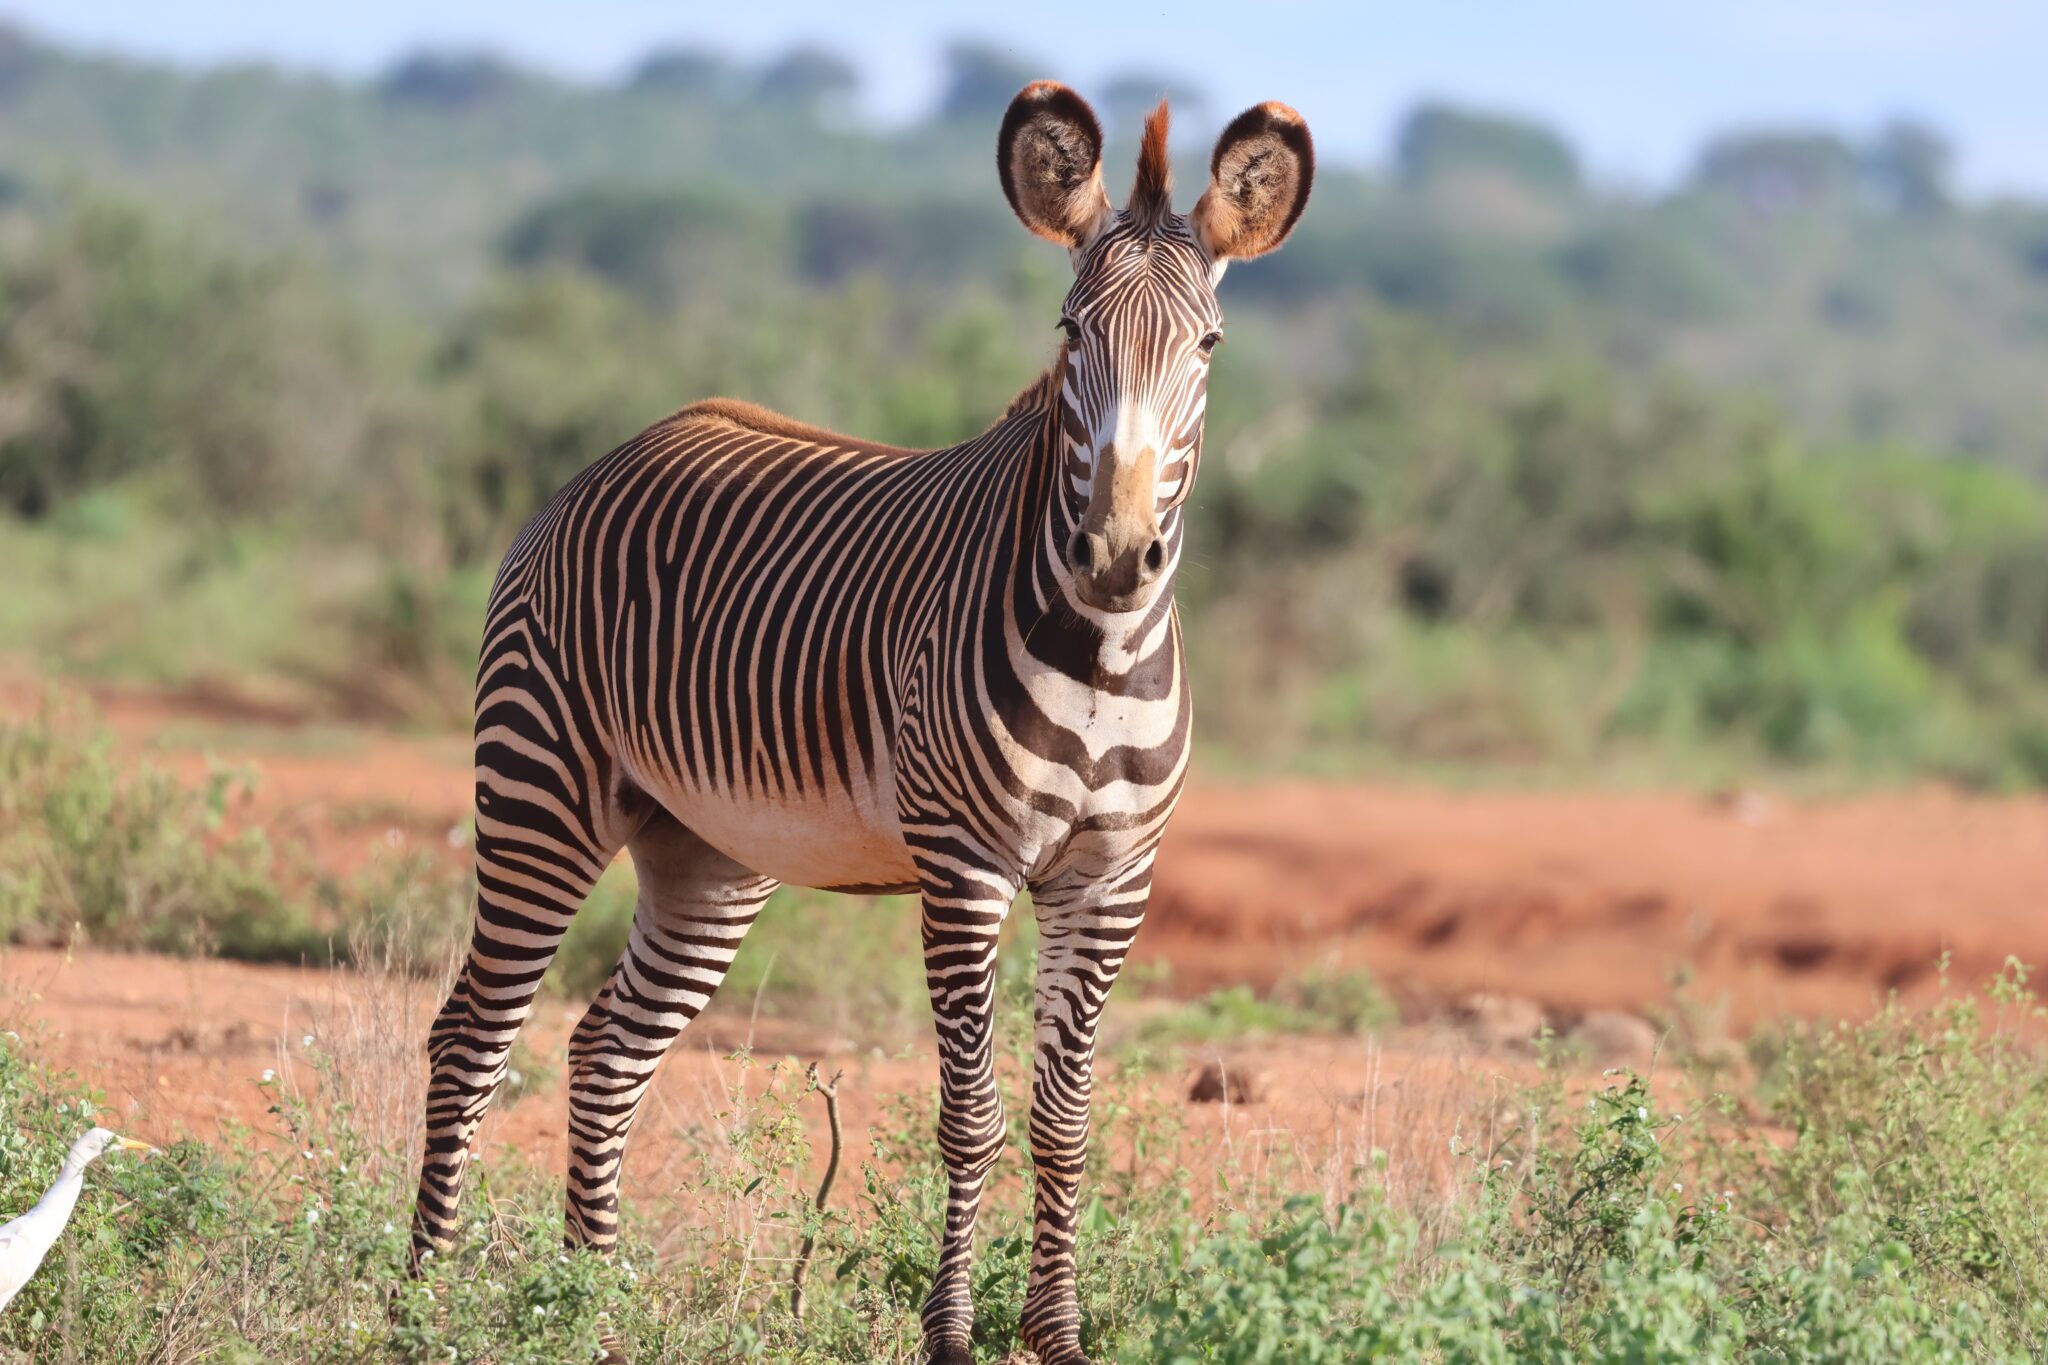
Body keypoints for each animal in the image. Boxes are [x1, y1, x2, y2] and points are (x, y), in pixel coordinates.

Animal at [411, 81, 1313, 1365]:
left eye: (1207, 347)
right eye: (1069, 332)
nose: (1115, 551)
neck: (1101, 644)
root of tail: (628, 445)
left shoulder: (1112, 876)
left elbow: (1066, 1120)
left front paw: (1056, 1336)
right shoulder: (965, 866)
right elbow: (972, 1115)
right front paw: (950, 1334)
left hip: (708, 853)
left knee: (604, 1049)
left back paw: (595, 1301)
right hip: (542, 785)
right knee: (472, 1037)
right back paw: (422, 1300)